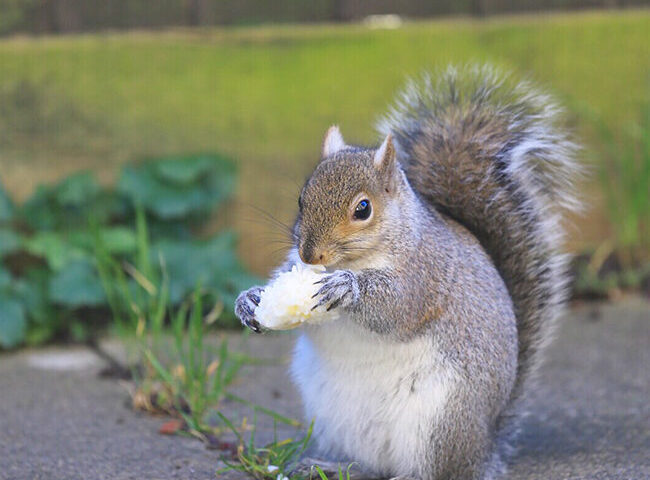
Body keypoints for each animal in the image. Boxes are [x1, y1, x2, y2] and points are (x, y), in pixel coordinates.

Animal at [235, 64, 580, 480]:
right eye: (302, 198)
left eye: (363, 209)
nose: (310, 254)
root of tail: (484, 451)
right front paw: (249, 300)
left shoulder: (423, 275)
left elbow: (396, 308)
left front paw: (348, 288)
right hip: (338, 417)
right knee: (370, 465)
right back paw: (330, 465)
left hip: (441, 419)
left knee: (436, 470)